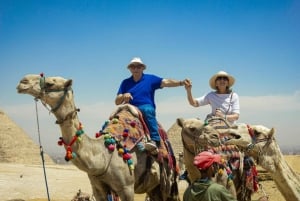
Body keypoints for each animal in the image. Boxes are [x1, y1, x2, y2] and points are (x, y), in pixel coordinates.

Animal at [16, 74, 179, 201]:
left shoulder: (127, 188)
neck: (104, 154)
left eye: (50, 83)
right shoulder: (98, 188)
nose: (22, 81)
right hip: (154, 186)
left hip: (167, 182)